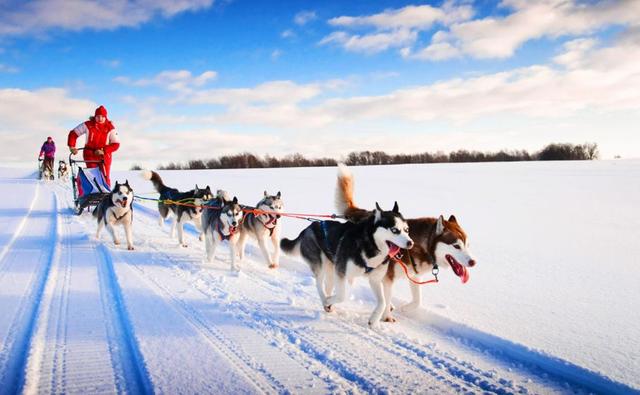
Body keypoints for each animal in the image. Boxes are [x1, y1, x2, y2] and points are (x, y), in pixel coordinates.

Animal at [282, 203, 412, 326]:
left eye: (406, 230)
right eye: (394, 230)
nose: (410, 243)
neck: (370, 245)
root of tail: (307, 228)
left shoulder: (374, 279)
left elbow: (383, 302)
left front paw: (374, 320)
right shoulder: (341, 272)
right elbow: (342, 295)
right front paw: (328, 301)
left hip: (332, 269)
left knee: (329, 286)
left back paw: (329, 303)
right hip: (321, 265)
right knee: (319, 285)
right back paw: (325, 300)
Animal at [336, 164, 476, 322]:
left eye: (467, 245)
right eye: (456, 246)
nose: (473, 262)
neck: (420, 246)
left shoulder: (415, 276)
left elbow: (417, 301)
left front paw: (404, 308)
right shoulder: (388, 278)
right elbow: (387, 298)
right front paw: (387, 316)